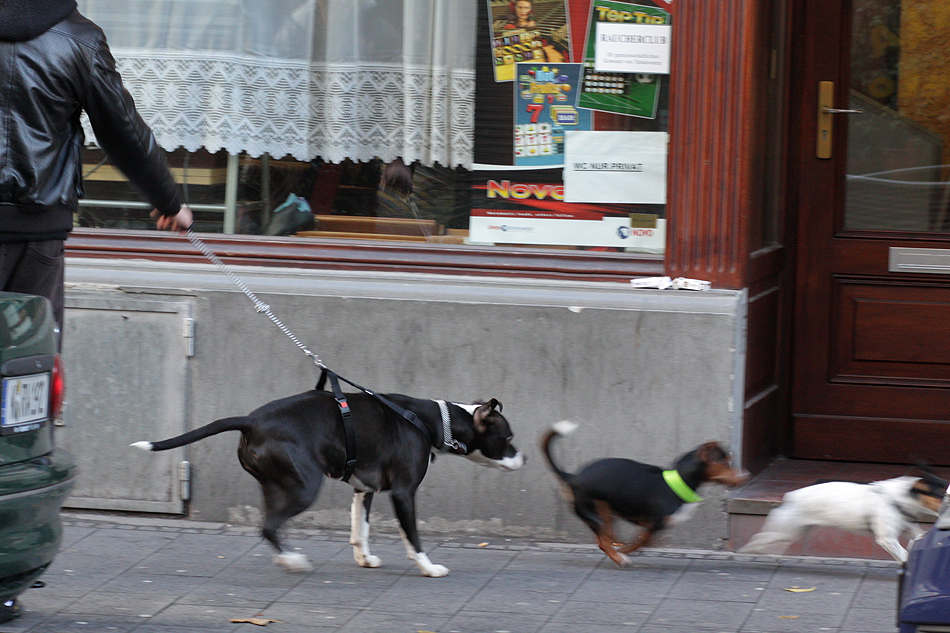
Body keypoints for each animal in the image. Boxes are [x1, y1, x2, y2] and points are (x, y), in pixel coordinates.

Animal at [540, 420, 748, 564]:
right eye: (725, 463)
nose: (746, 476)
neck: (679, 481)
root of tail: (573, 477)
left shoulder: (654, 526)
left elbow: (646, 541)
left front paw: (625, 548)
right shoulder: (654, 523)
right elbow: (642, 541)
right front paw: (625, 552)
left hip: (605, 511)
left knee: (604, 537)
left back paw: (615, 545)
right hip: (593, 511)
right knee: (602, 541)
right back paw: (620, 559)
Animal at [744, 476, 950, 560]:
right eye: (941, 493)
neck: (897, 498)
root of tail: (791, 496)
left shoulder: (908, 527)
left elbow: (918, 536)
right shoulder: (887, 539)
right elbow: (904, 555)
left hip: (792, 531)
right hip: (783, 530)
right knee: (757, 539)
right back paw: (747, 552)